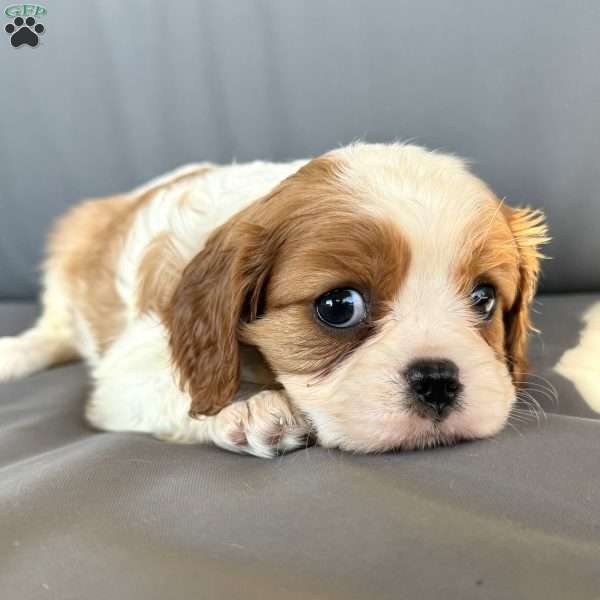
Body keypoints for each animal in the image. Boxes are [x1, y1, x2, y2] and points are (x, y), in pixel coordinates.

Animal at [0, 143, 548, 458]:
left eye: (484, 299)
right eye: (339, 307)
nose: (437, 380)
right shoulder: (123, 374)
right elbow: (177, 385)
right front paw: (248, 407)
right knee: (51, 333)